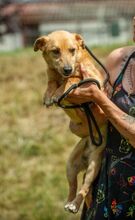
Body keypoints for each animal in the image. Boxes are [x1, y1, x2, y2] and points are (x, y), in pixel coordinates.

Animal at [34, 30, 107, 213]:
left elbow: (72, 80)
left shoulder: (93, 79)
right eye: (55, 51)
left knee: (84, 188)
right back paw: (69, 202)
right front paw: (49, 95)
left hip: (94, 166)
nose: (67, 69)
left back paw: (74, 204)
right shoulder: (52, 74)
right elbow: (51, 82)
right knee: (73, 186)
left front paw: (60, 90)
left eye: (73, 50)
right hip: (70, 165)